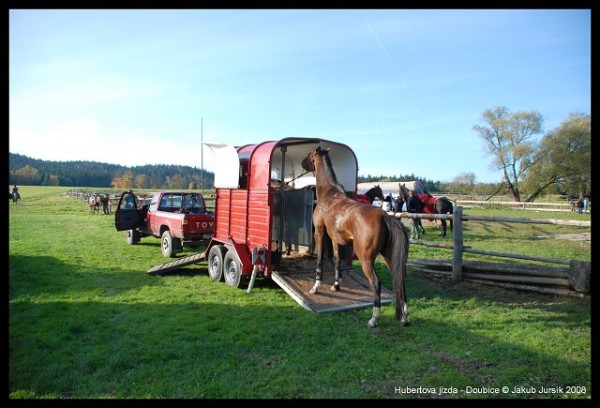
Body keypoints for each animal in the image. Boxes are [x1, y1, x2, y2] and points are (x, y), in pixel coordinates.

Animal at [302, 147, 410, 328]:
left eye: (310, 155)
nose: (302, 164)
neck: (329, 194)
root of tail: (385, 216)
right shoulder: (335, 239)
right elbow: (337, 260)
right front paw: (336, 285)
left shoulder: (320, 232)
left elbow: (320, 260)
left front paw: (316, 287)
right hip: (390, 256)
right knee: (400, 280)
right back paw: (405, 317)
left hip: (366, 259)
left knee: (376, 283)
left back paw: (374, 319)